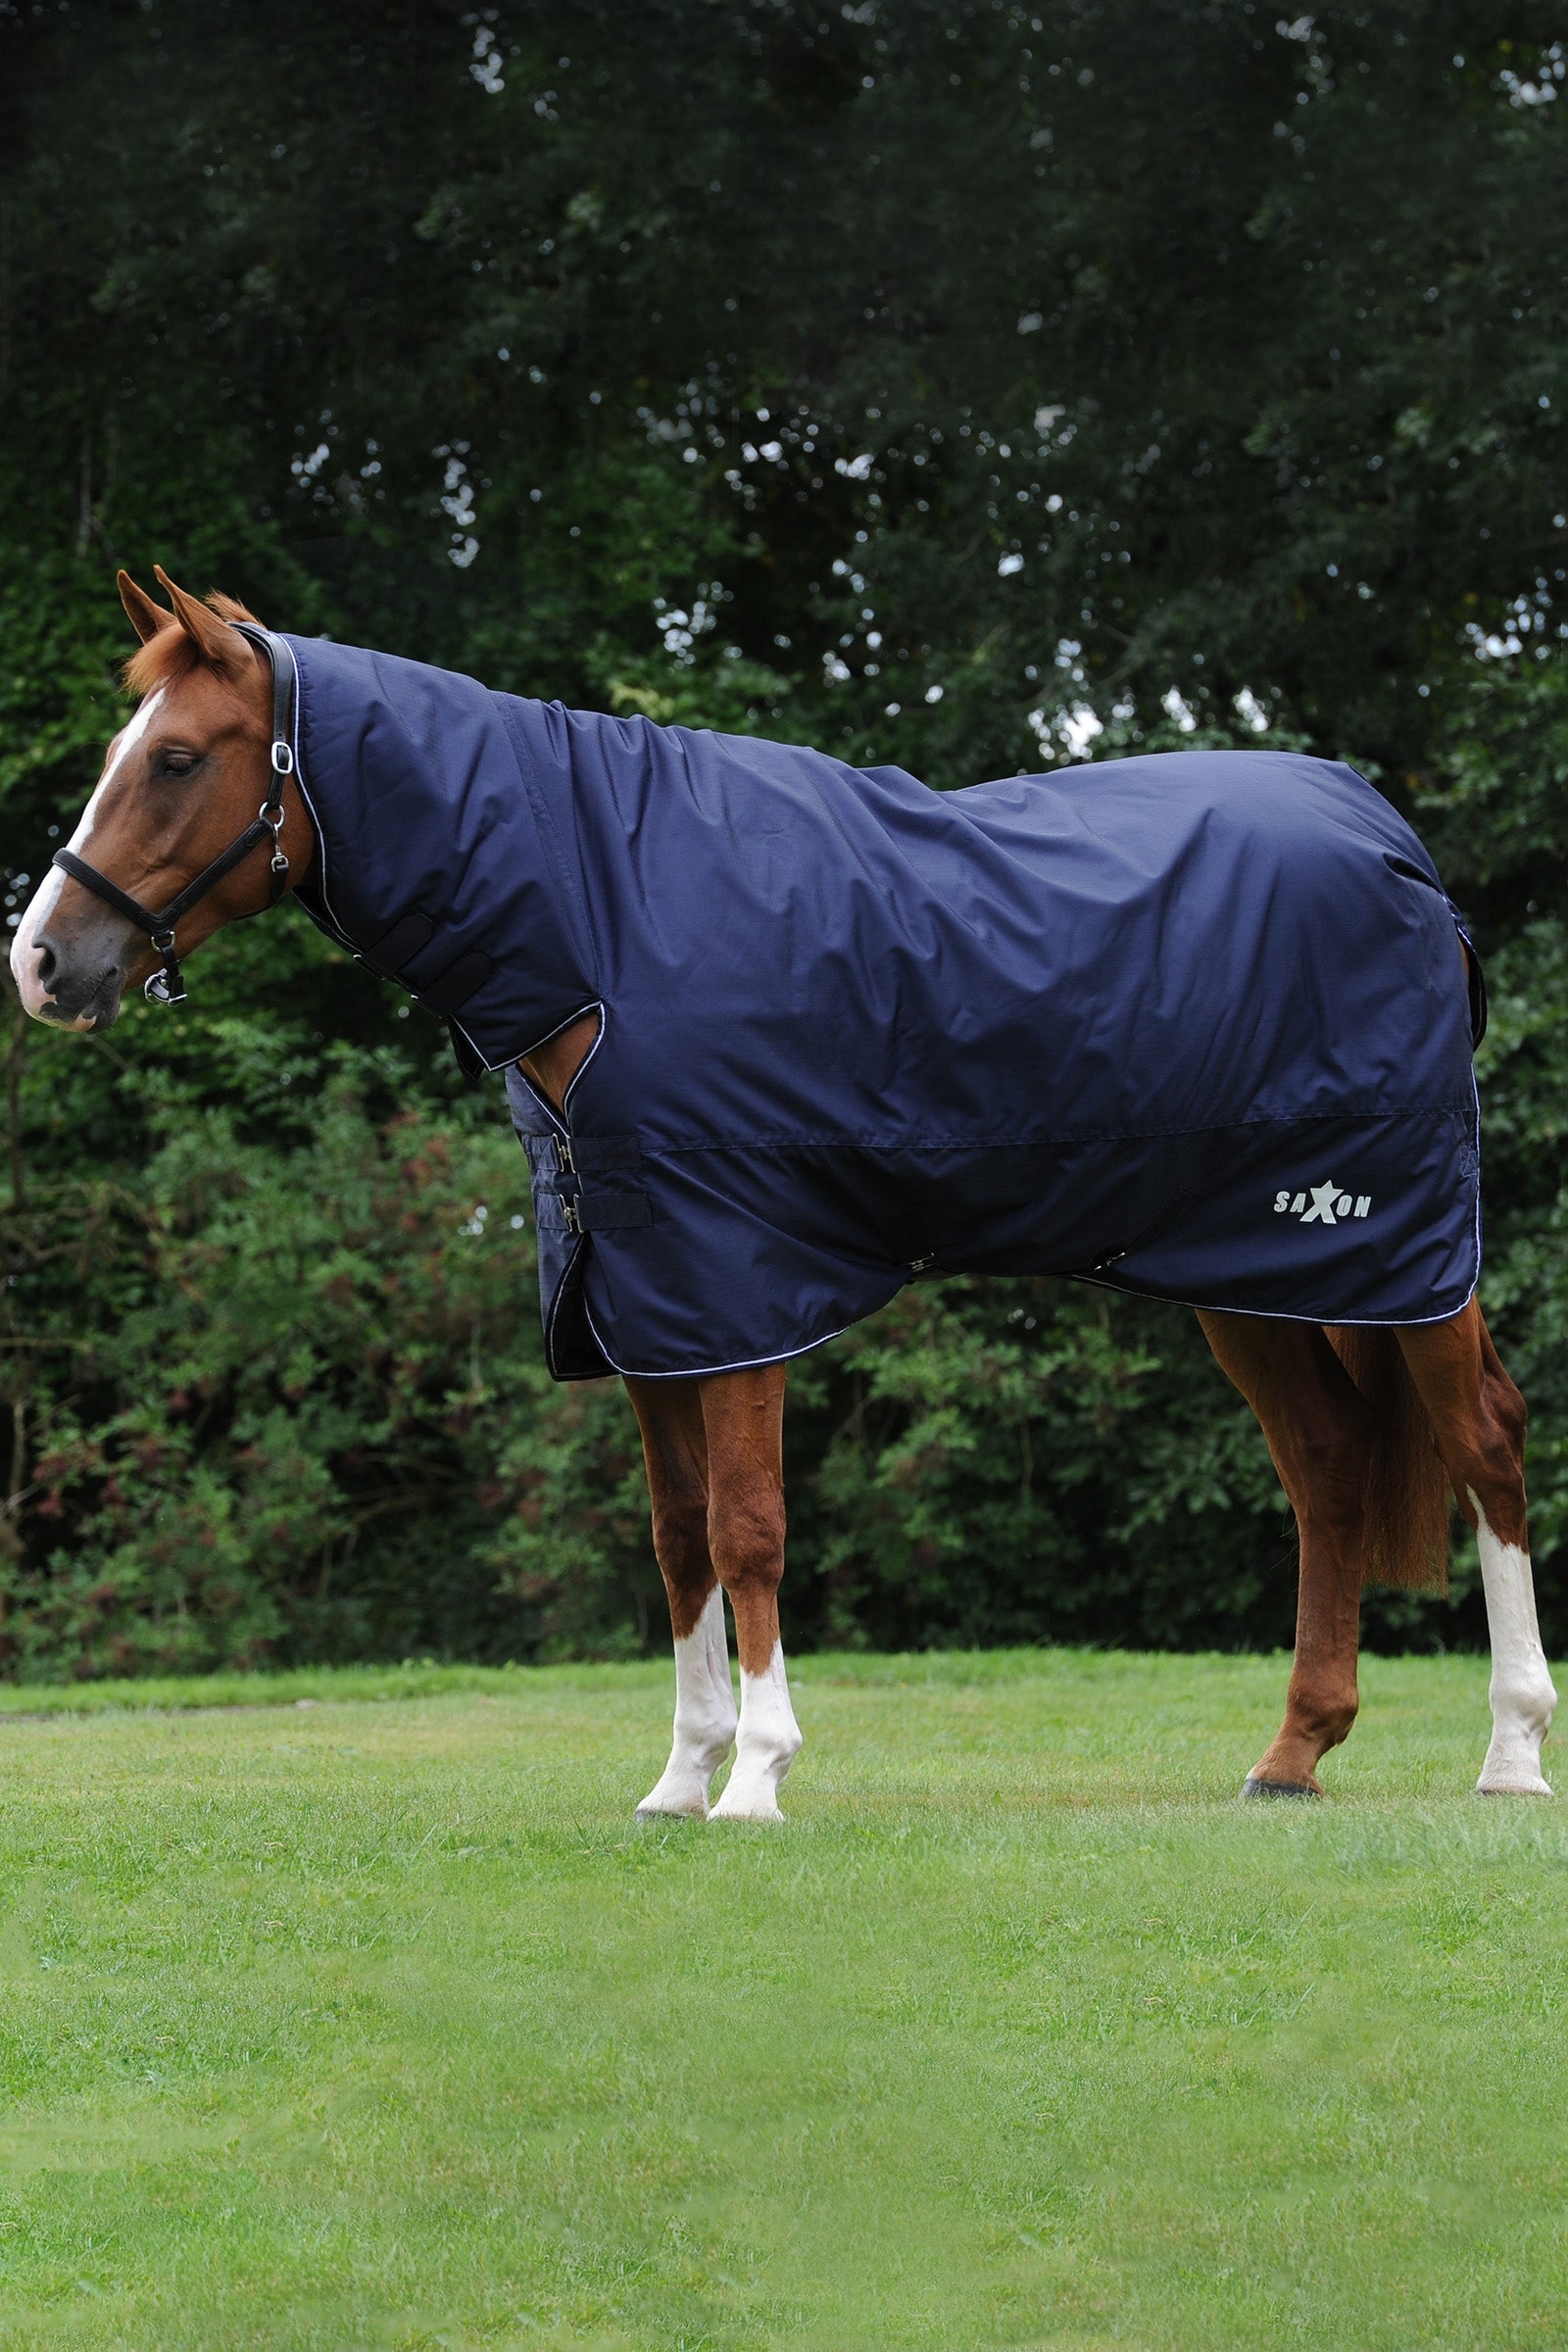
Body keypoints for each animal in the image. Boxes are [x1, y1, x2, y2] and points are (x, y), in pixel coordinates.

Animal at [8, 568, 1556, 1816]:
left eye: (177, 759)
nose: (42, 963)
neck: (602, 919)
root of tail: (1397, 846)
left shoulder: (736, 1280)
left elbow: (748, 1526)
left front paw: (756, 1774)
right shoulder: (639, 1302)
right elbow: (677, 1538)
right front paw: (679, 1779)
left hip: (1402, 1252)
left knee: (1482, 1441)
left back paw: (1510, 1753)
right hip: (1253, 1270)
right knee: (1330, 1470)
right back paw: (1293, 1756)